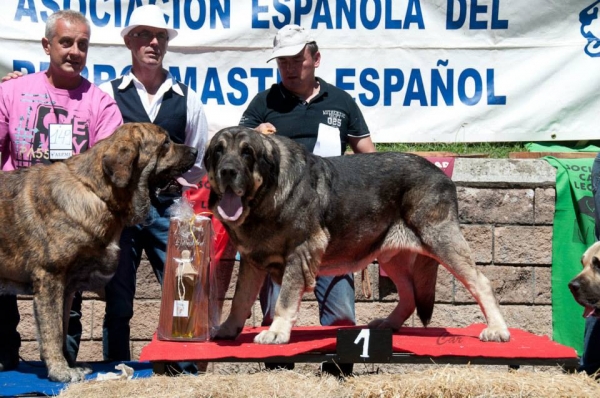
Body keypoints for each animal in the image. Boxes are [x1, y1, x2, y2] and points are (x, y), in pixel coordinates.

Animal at [0, 122, 197, 382]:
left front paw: (70, 364)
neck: (97, 191)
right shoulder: (50, 278)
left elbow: (62, 327)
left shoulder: (66, 287)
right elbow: (52, 329)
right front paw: (60, 370)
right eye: (165, 143)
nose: (196, 151)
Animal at [206, 126, 510, 346]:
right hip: (391, 257)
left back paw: (497, 329)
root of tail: (441, 174)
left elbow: (285, 299)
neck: (266, 195)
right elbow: (240, 299)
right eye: (218, 152)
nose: (227, 171)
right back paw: (388, 324)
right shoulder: (251, 261)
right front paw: (228, 329)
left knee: (481, 283)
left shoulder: (300, 253)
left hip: (441, 241)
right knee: (409, 294)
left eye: (247, 153)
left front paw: (276, 331)